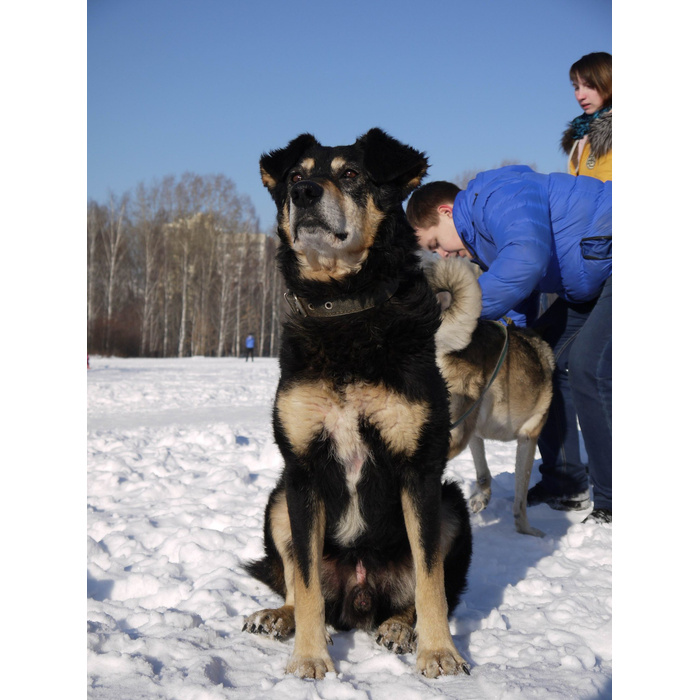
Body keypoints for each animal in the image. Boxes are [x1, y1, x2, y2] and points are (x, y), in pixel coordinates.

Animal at [243, 130, 474, 680]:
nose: (303, 192)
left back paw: (400, 628)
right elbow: (305, 583)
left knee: (422, 590)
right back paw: (279, 616)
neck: (344, 308)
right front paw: (309, 657)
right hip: (278, 501)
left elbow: (431, 580)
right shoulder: (302, 470)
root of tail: (360, 597)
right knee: (299, 582)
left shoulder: (419, 469)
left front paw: (438, 652)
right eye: (295, 174)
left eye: (351, 174)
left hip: (452, 503)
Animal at [424, 258, 556, 536]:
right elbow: (521, 498)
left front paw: (480, 499)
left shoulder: (475, 432)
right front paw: (527, 531)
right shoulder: (529, 437)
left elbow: (483, 471)